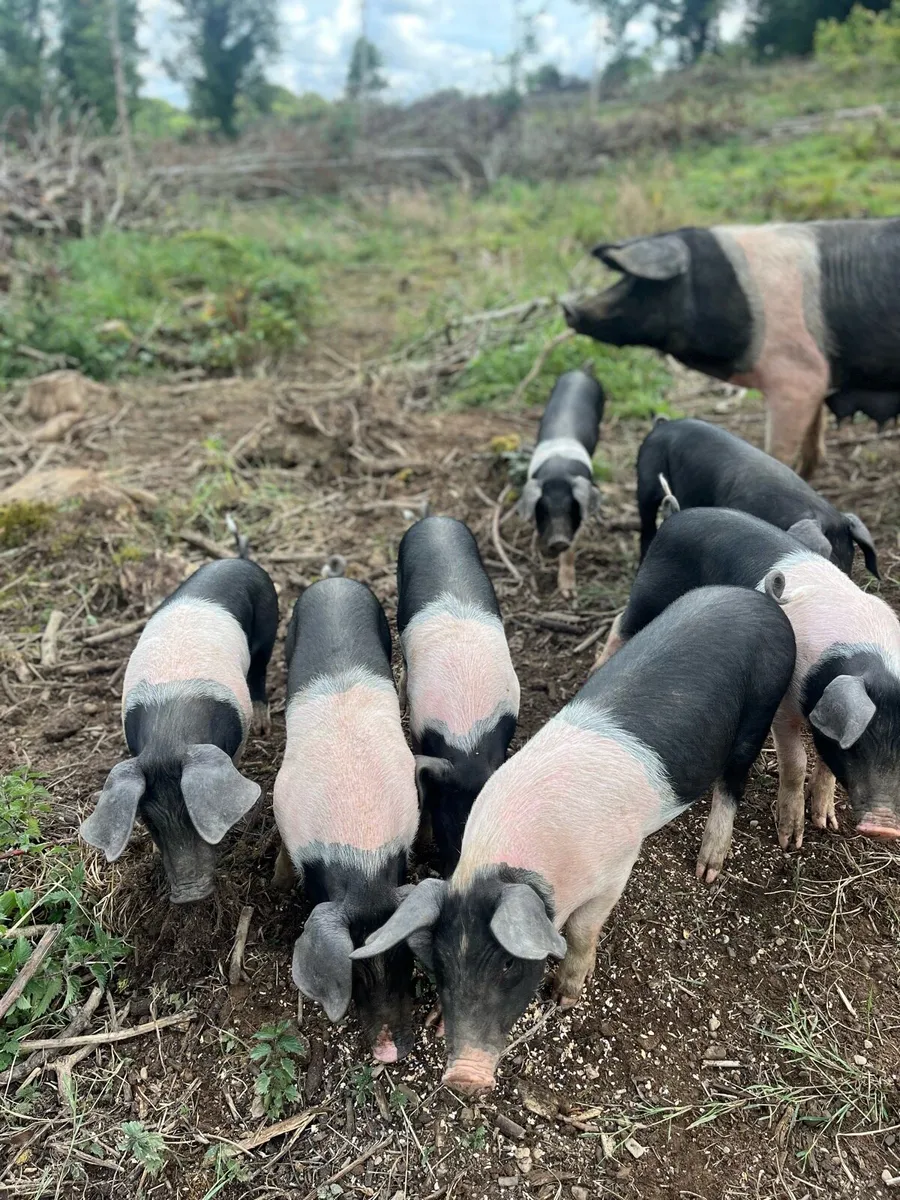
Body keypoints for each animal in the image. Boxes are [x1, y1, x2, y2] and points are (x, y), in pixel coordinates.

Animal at [79, 556, 278, 903]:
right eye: (148, 822)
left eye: (191, 813)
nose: (189, 894)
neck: (169, 733)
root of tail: (238, 560)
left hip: (269, 623)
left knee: (260, 669)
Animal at [352, 585, 795, 1093]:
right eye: (439, 965)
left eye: (508, 964)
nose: (463, 1076)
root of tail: (760, 599)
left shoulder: (617, 866)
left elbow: (583, 930)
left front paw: (563, 998)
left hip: (761, 707)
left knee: (733, 781)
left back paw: (708, 869)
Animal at [516, 367, 605, 596]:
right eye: (543, 509)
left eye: (571, 508)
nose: (558, 540)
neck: (558, 472)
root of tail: (581, 371)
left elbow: (571, 549)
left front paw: (568, 593)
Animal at [562, 219, 900, 478]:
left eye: (638, 282)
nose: (567, 308)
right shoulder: (819, 377)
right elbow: (813, 436)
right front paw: (807, 473)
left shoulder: (797, 375)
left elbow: (779, 450)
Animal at [597, 507, 900, 853]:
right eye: (862, 747)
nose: (883, 828)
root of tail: (679, 515)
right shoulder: (784, 701)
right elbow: (795, 761)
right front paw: (790, 841)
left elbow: (826, 765)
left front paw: (826, 823)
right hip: (650, 589)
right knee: (621, 625)